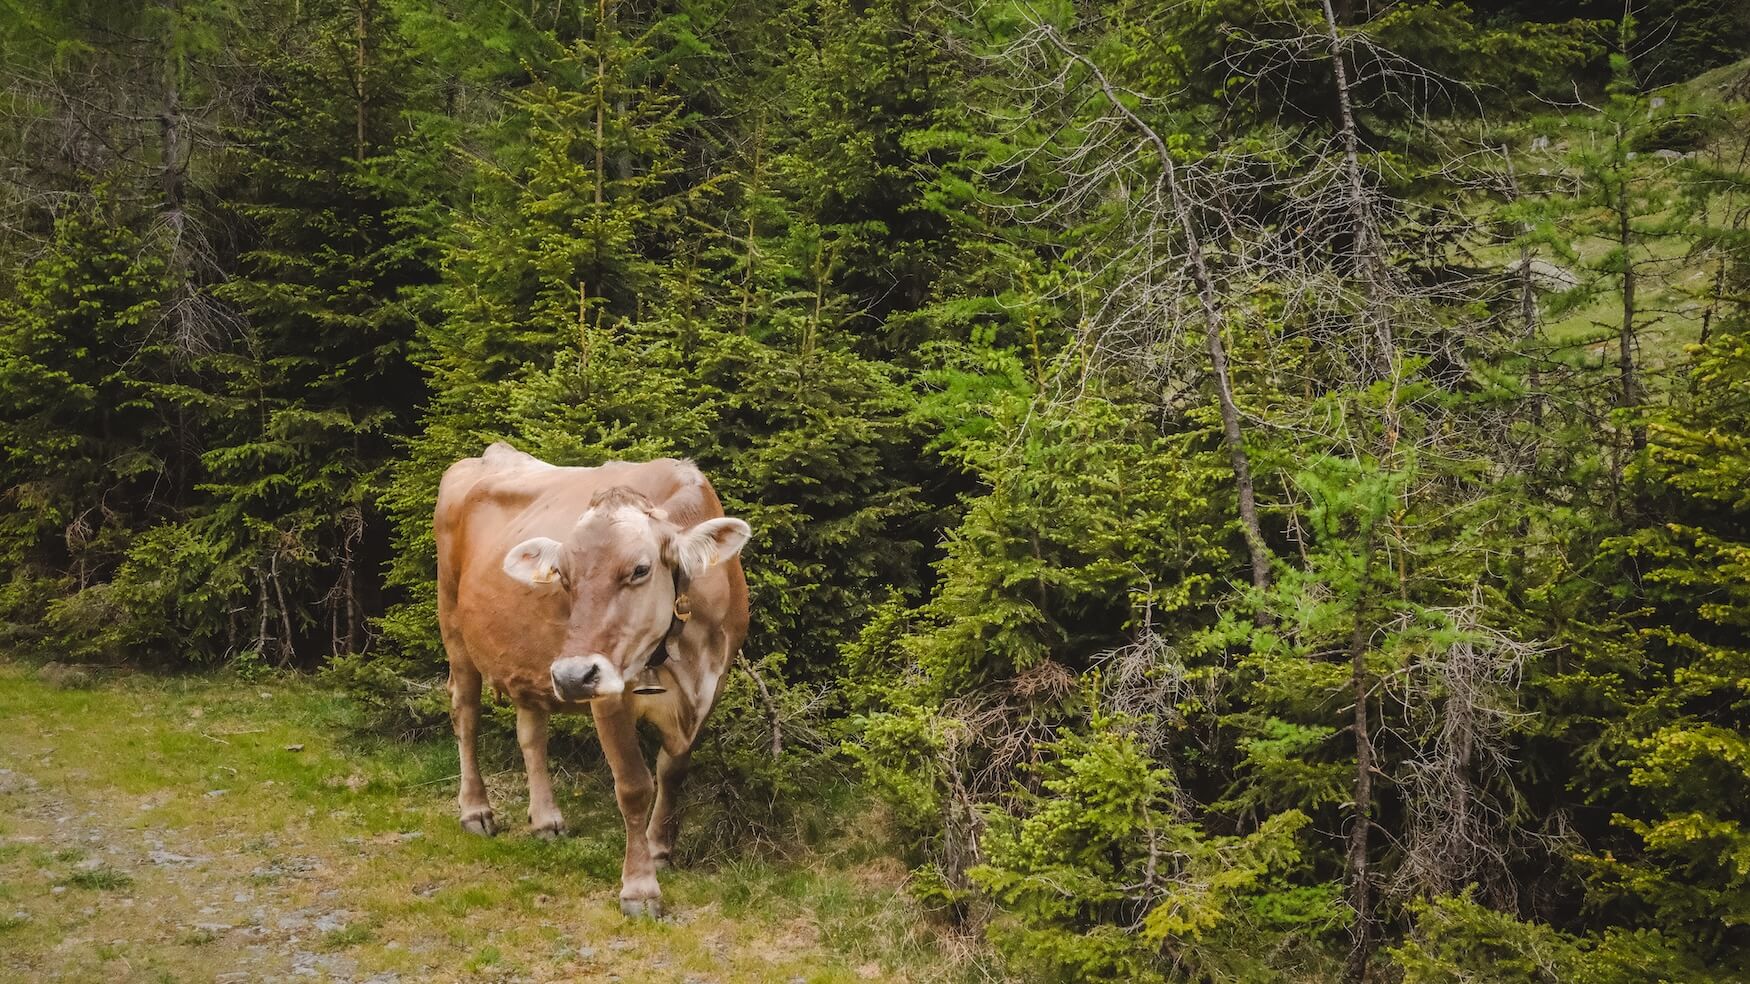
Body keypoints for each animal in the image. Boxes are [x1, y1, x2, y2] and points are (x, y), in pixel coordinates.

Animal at [434, 442, 751, 918]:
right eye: (563, 576)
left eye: (639, 569)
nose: (570, 675)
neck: (687, 650)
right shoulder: (608, 692)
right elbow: (634, 785)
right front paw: (639, 888)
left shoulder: (713, 684)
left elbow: (673, 770)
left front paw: (660, 849)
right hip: (454, 625)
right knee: (465, 713)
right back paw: (476, 811)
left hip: (528, 661)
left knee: (531, 732)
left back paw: (546, 819)